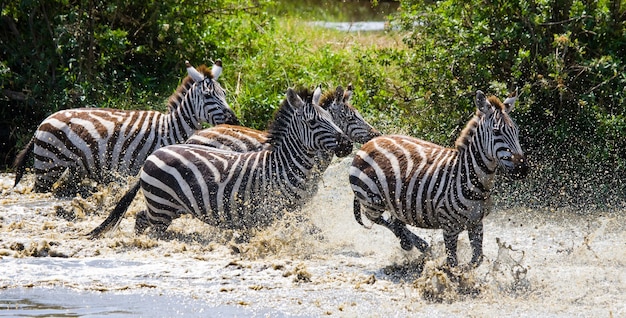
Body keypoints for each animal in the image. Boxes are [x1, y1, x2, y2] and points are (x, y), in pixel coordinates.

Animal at [12, 60, 236, 196]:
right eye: (208, 95)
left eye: (224, 93)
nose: (233, 120)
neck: (170, 129)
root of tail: (42, 123)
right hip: (48, 167)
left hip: (70, 170)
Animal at [88, 85, 352, 237]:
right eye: (313, 122)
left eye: (331, 118)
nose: (347, 145)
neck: (282, 167)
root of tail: (153, 155)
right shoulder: (273, 212)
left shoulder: (294, 212)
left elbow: (315, 232)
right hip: (161, 206)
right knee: (144, 220)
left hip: (168, 208)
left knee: (143, 219)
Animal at [346, 89, 528, 266]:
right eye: (496, 132)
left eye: (516, 131)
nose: (522, 170)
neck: (471, 179)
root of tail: (371, 142)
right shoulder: (449, 228)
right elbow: (453, 263)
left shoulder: (476, 223)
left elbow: (477, 259)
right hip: (371, 200)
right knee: (376, 218)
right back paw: (410, 242)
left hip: (394, 202)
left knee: (396, 220)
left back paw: (417, 244)